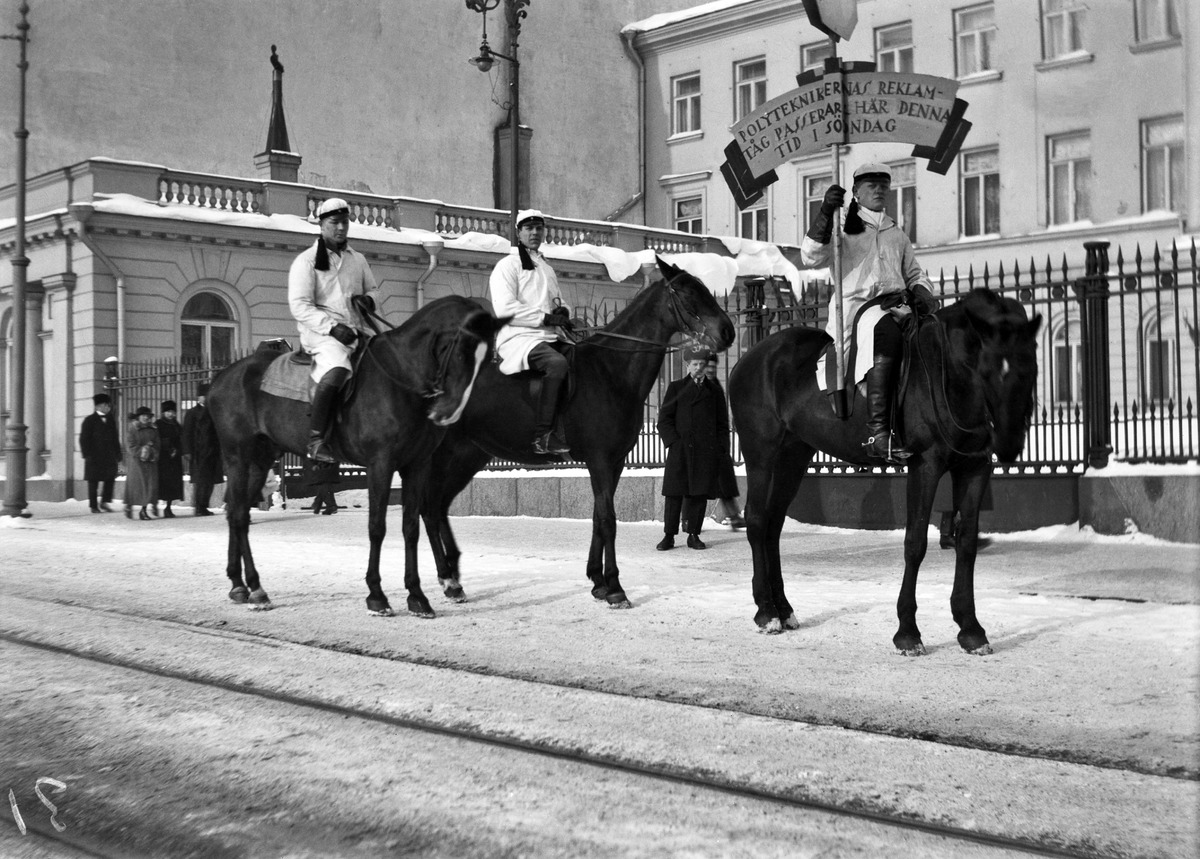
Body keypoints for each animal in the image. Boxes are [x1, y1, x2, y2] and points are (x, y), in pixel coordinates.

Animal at [206, 295, 506, 619]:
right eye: (462, 352)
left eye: (489, 357)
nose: (448, 412)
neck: (400, 378)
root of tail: (219, 379)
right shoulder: (380, 465)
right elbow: (377, 527)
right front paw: (377, 595)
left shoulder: (416, 466)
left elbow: (410, 527)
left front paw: (416, 596)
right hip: (240, 457)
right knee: (238, 514)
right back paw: (255, 587)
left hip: (260, 460)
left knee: (238, 512)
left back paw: (240, 585)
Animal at [422, 256, 739, 611]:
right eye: (687, 293)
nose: (727, 331)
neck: (610, 371)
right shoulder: (599, 460)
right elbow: (608, 519)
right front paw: (615, 586)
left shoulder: (614, 462)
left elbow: (599, 518)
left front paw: (598, 580)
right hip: (443, 455)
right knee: (428, 507)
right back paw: (444, 580)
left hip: (468, 455)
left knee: (438, 506)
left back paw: (452, 580)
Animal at [729, 285, 1041, 652]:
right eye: (988, 369)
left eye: (1029, 368)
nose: (1008, 445)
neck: (948, 372)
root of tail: (748, 357)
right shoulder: (925, 466)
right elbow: (915, 543)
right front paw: (908, 631)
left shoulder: (975, 467)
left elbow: (966, 543)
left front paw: (971, 628)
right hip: (761, 453)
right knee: (757, 520)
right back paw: (766, 612)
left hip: (794, 456)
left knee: (773, 525)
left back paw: (783, 608)